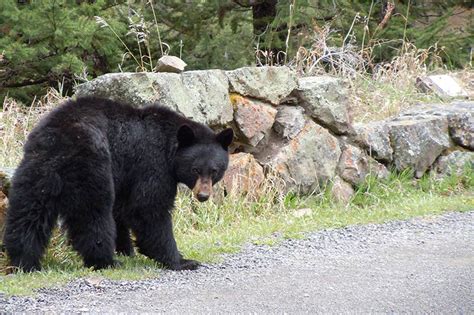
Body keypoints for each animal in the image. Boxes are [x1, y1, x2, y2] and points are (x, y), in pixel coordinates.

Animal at [2, 97, 233, 272]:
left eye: (214, 171)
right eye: (195, 170)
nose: (203, 196)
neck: (170, 146)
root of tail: (58, 140)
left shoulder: (126, 174)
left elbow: (122, 209)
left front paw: (126, 249)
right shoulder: (151, 163)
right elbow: (148, 208)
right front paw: (180, 260)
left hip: (36, 169)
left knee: (28, 212)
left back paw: (24, 260)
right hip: (92, 165)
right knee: (93, 214)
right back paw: (106, 261)